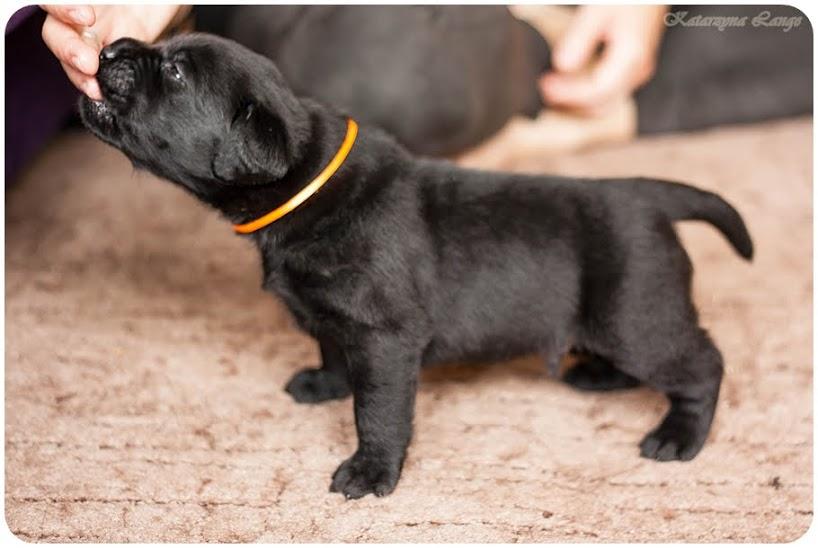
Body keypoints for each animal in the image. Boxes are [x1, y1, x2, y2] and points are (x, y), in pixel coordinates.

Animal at [83, 32, 752, 498]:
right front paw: (325, 383)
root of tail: (650, 194)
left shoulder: (386, 338)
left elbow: (377, 411)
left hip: (634, 315)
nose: (111, 46)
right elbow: (333, 350)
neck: (305, 185)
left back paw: (678, 436)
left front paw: (370, 471)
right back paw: (597, 376)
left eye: (174, 71)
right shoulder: (338, 322)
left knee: (702, 364)